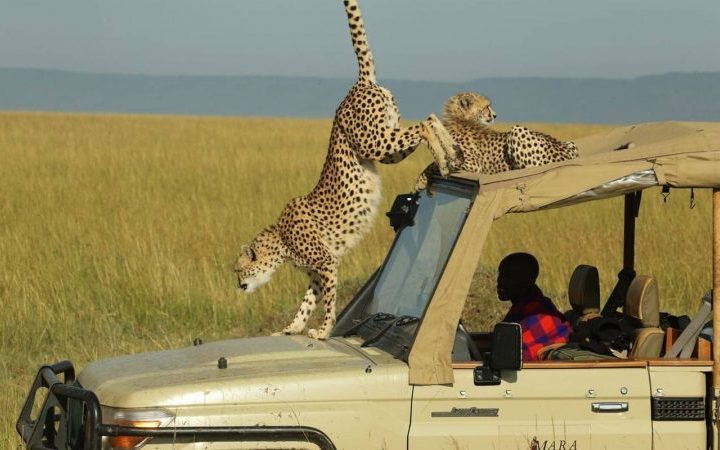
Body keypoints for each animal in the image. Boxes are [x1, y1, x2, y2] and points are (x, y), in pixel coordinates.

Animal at [233, 0, 458, 340]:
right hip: (387, 143)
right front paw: (292, 328)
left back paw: (446, 158)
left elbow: (328, 301)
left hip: (374, 143)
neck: (280, 241)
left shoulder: (326, 263)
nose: (238, 285)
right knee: (430, 118)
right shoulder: (317, 271)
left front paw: (324, 330)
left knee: (425, 123)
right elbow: (307, 302)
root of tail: (358, 83)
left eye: (238, 270)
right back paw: (451, 154)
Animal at [414, 91, 576, 190]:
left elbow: (436, 163)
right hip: (570, 143)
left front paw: (420, 181)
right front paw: (421, 180)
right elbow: (435, 162)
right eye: (486, 107)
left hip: (517, 130)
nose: (495, 115)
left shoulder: (472, 164)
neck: (460, 119)